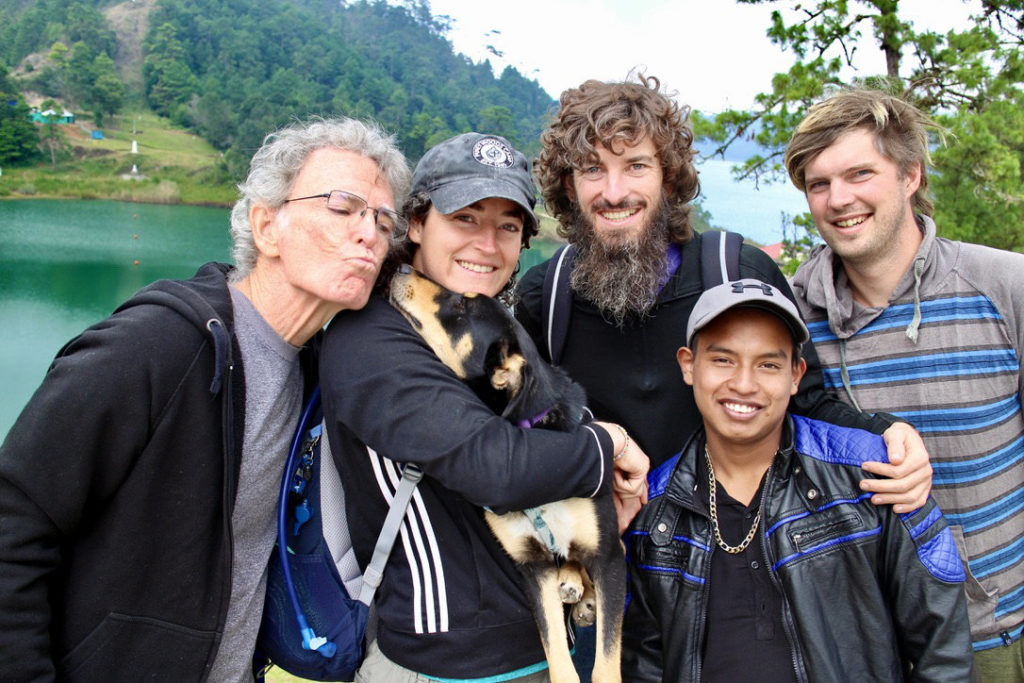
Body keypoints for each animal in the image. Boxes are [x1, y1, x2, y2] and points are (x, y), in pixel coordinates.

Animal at [389, 266, 622, 683]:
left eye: (461, 306)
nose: (400, 267)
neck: (534, 427)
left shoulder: (610, 558)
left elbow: (605, 665)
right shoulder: (532, 566)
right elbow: (557, 654)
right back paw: (571, 583)